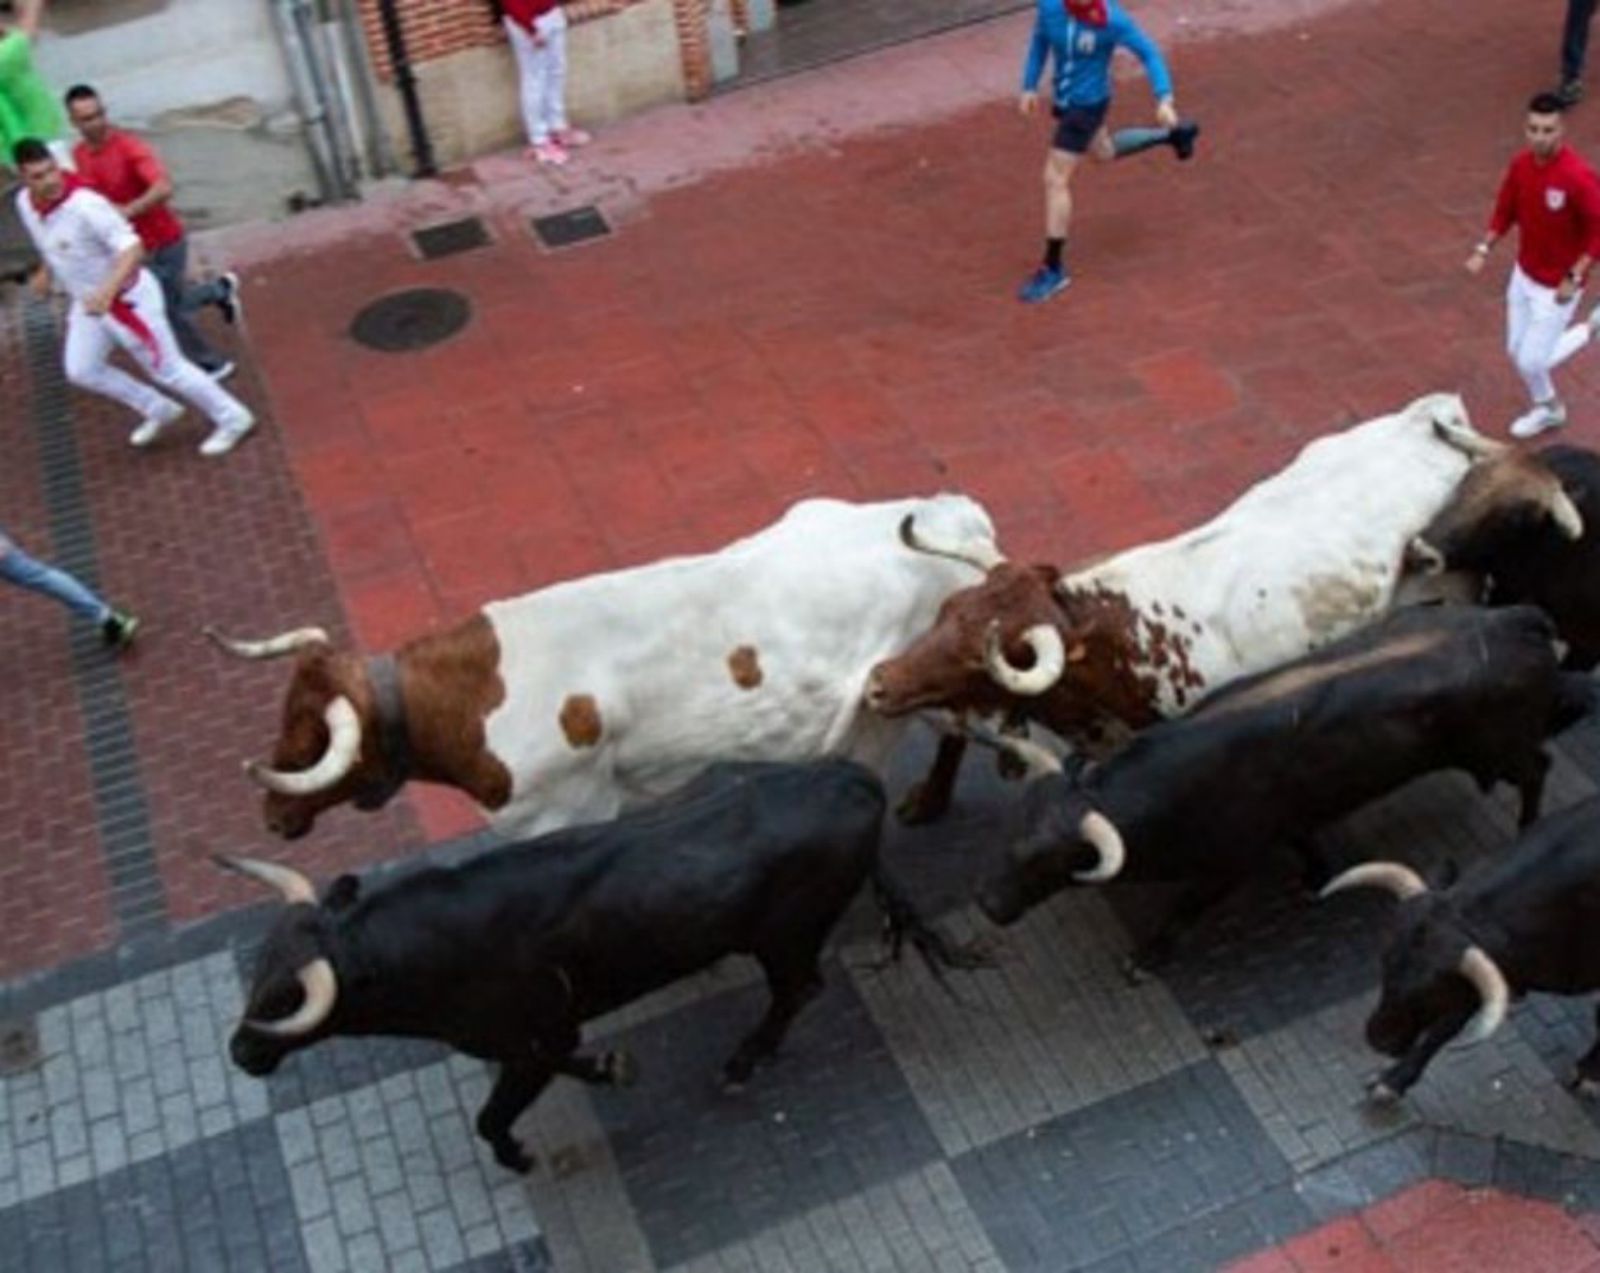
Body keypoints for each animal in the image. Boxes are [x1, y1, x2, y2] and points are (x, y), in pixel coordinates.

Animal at [206, 492, 992, 838]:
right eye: (284, 716)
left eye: (313, 740)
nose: (272, 816)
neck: (472, 698)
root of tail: (948, 511)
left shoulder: (567, 811)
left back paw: (928, 800)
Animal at [222, 754, 972, 1170]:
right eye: (258, 971)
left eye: (290, 999)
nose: (240, 1052)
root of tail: (855, 778)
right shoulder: (539, 1039)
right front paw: (613, 1067)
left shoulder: (537, 1033)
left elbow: (494, 1115)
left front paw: (520, 1152)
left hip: (784, 936)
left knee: (799, 989)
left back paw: (740, 1064)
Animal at [966, 601, 1593, 972]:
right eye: (1009, 839)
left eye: (1051, 861)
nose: (988, 906)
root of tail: (1517, 619)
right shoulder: (1291, 816)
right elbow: (1307, 842)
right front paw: (1316, 875)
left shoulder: (1226, 865)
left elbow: (1184, 908)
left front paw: (1147, 957)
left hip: (1502, 749)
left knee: (1538, 768)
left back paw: (1527, 826)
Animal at [1324, 796, 1600, 1106]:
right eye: (1385, 963)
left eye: (1428, 993)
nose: (1378, 1039)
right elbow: (1444, 1027)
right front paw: (1392, 1081)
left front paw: (1589, 1074)